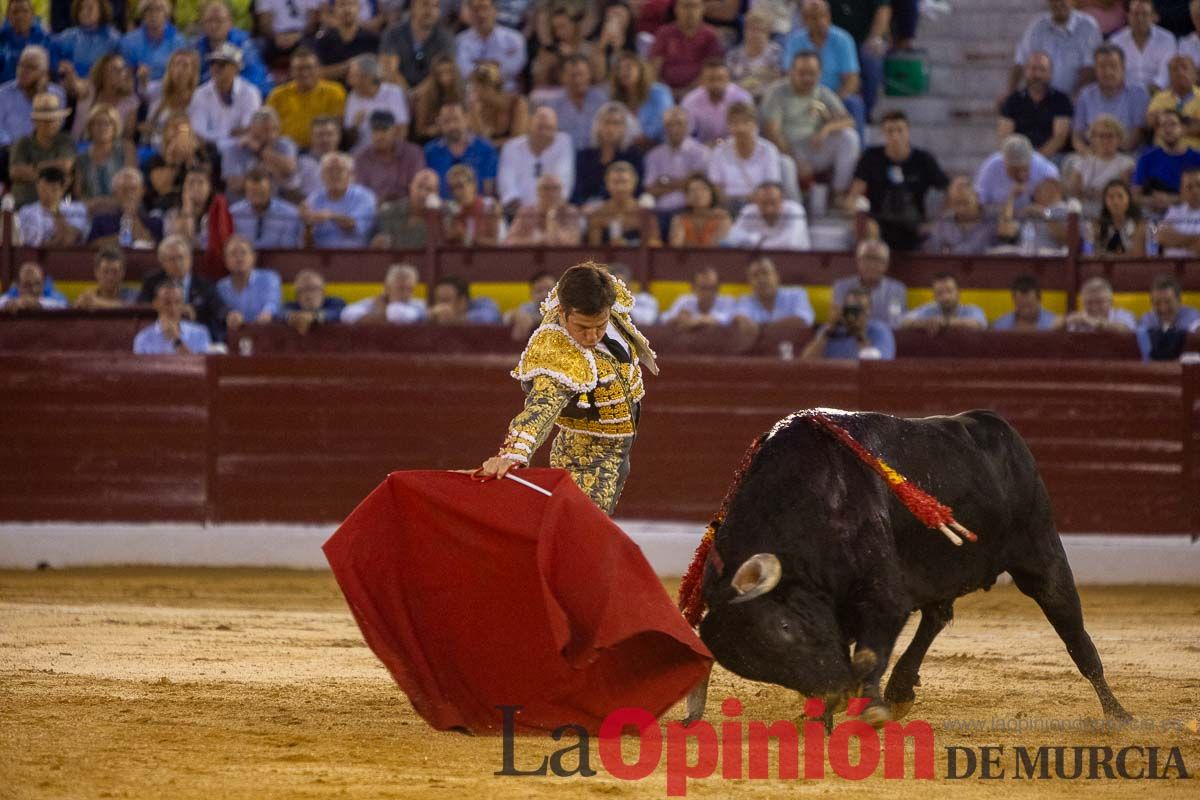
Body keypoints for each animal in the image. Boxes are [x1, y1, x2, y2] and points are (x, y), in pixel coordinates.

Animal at [691, 410, 1128, 729]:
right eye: (762, 668)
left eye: (785, 627)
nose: (836, 691)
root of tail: (994, 425)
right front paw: (822, 717)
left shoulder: (883, 596)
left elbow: (871, 651)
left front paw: (869, 707)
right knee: (937, 615)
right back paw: (900, 687)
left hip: (1042, 554)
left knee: (1075, 635)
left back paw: (1118, 715)